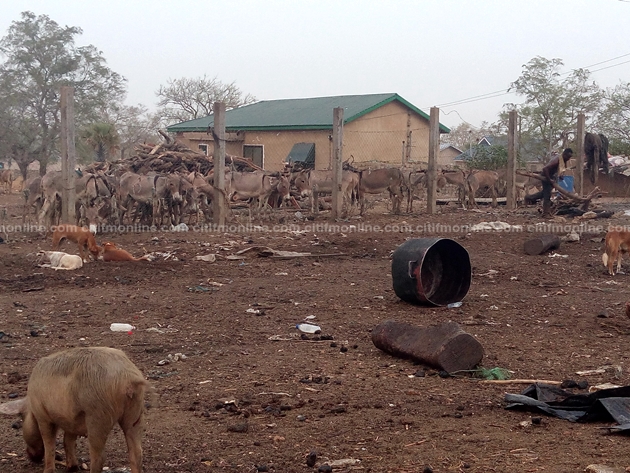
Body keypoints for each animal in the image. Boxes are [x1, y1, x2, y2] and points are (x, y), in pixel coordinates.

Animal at [0, 344, 149, 470]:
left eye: (22, 418)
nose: (32, 458)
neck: (31, 404)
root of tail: (128, 377)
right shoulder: (72, 419)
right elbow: (68, 440)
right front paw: (72, 467)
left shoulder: (43, 415)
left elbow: (49, 443)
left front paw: (49, 470)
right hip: (135, 411)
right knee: (136, 452)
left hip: (98, 415)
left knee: (99, 457)